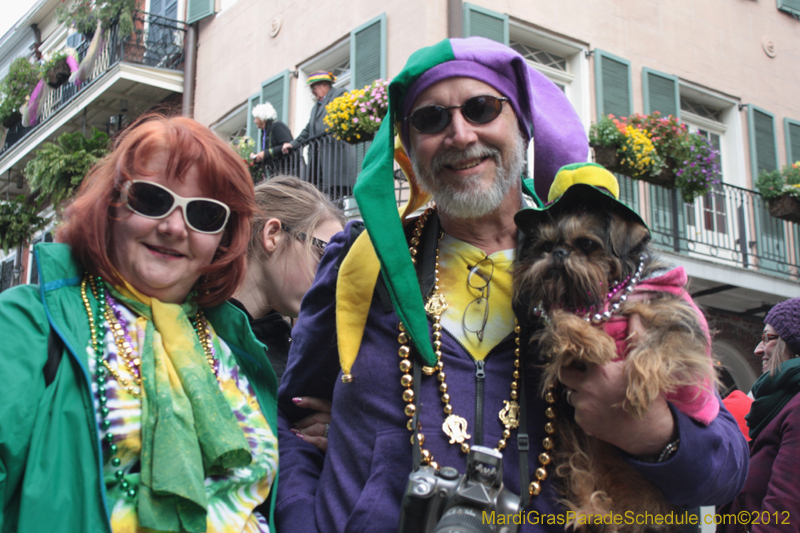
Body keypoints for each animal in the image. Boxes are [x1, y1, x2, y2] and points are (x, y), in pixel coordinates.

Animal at [512, 164, 720, 528]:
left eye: (587, 244)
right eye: (545, 245)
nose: (558, 253)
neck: (607, 297)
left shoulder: (677, 322)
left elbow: (657, 346)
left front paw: (639, 386)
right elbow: (560, 321)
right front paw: (595, 342)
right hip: (580, 458)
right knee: (586, 489)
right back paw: (590, 514)